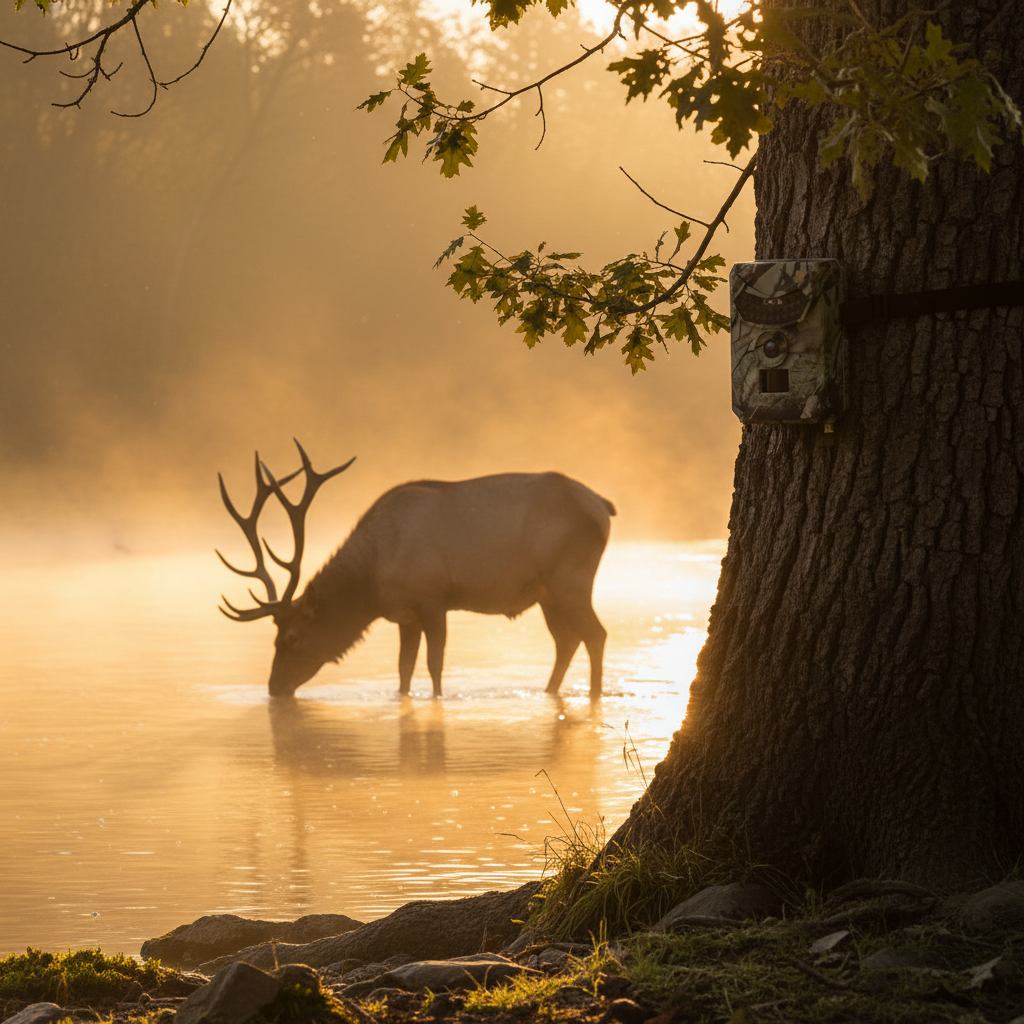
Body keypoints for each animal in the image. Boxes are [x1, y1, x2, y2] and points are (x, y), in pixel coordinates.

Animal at [217, 440, 616, 699]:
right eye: (274, 638)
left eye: (292, 638)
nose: (274, 687)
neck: (373, 580)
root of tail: (604, 506)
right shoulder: (404, 616)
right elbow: (403, 668)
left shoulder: (433, 598)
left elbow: (434, 664)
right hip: (547, 592)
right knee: (567, 640)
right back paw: (549, 692)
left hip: (571, 578)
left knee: (595, 634)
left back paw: (594, 696)